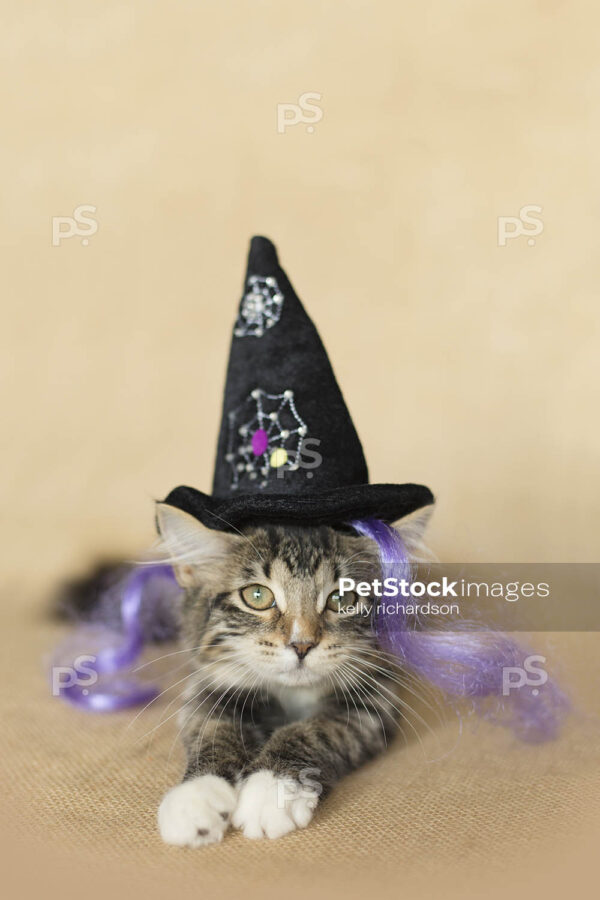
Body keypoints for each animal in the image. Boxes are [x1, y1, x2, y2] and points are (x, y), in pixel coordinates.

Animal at [155, 506, 426, 844]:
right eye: (257, 595)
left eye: (342, 600)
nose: (302, 644)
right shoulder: (209, 687)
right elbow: (212, 731)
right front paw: (196, 797)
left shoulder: (373, 700)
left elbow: (311, 731)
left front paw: (272, 790)